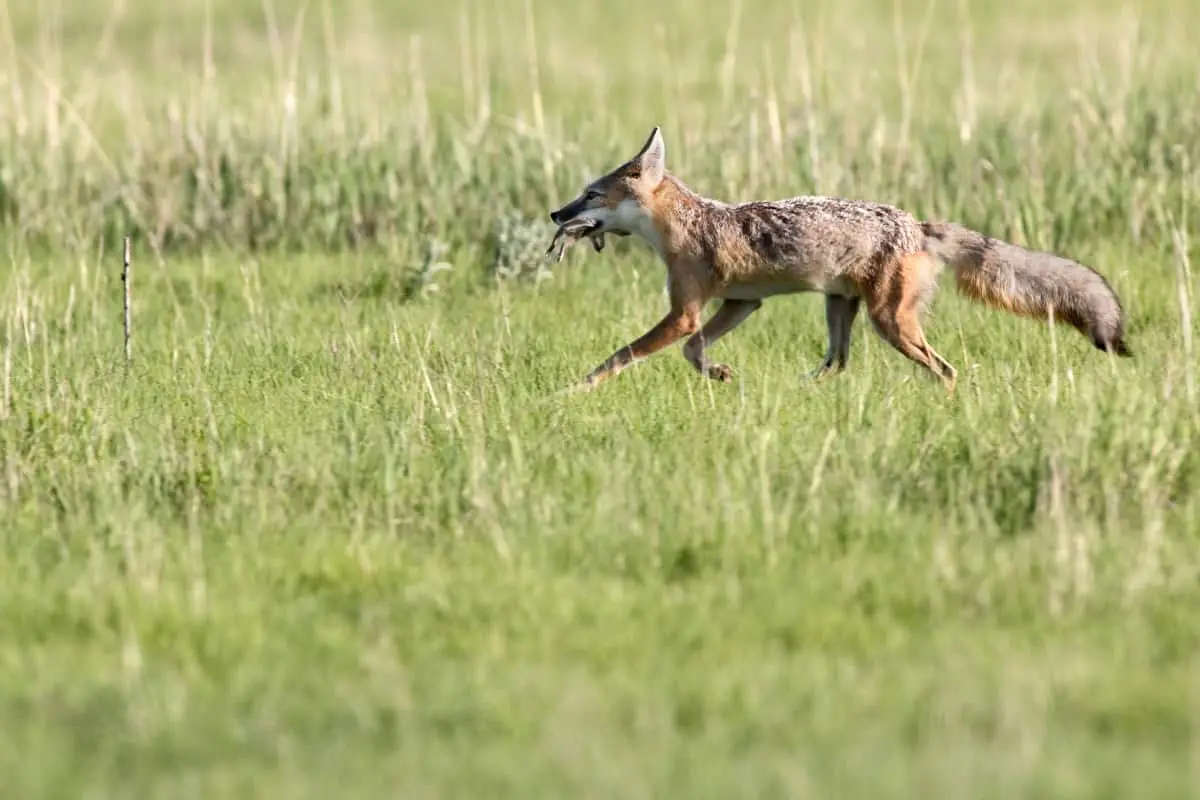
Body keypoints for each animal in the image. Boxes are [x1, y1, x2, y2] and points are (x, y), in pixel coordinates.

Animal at [549, 124, 1128, 393]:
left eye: (590, 195)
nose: (556, 215)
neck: (686, 224)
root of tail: (918, 225)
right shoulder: (740, 304)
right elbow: (694, 352)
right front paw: (720, 375)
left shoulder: (685, 312)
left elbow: (621, 355)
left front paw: (575, 390)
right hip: (841, 310)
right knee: (838, 362)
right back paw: (799, 391)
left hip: (888, 322)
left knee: (945, 370)